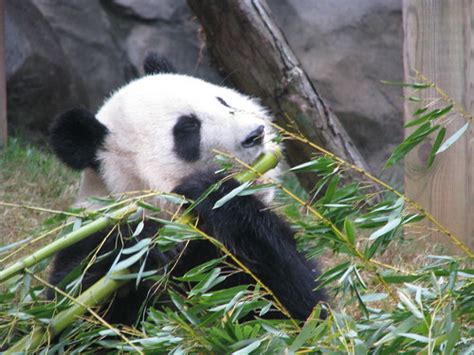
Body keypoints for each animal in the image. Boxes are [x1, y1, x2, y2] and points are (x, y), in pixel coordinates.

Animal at [48, 53, 328, 326]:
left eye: (222, 101)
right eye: (187, 128)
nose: (255, 135)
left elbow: (299, 306)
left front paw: (210, 189)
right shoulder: (88, 236)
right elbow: (75, 312)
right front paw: (139, 249)